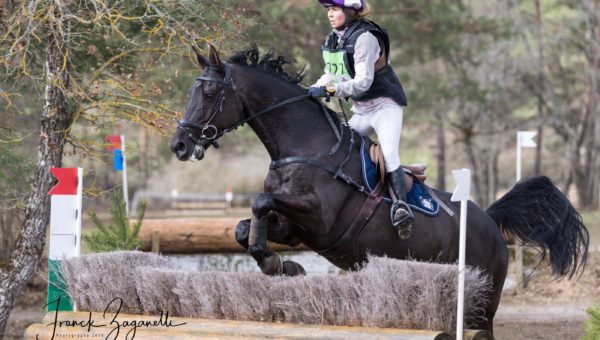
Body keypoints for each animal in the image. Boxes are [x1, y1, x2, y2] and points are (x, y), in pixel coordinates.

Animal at [170, 45, 592, 332]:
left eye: (209, 93)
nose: (179, 146)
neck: (303, 147)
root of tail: (489, 219)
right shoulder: (295, 227)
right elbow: (245, 227)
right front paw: (281, 265)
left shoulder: (319, 219)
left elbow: (259, 201)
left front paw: (277, 265)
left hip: (482, 302)